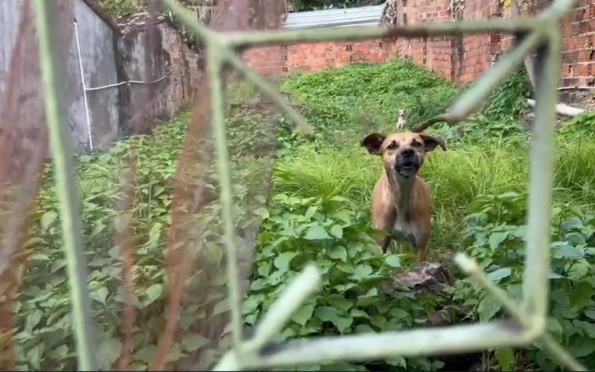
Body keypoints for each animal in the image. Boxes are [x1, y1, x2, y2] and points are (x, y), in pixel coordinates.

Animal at [358, 131, 448, 262]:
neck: (401, 198)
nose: (408, 151)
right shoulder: (381, 243)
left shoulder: (420, 248)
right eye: (391, 146)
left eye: (417, 143)